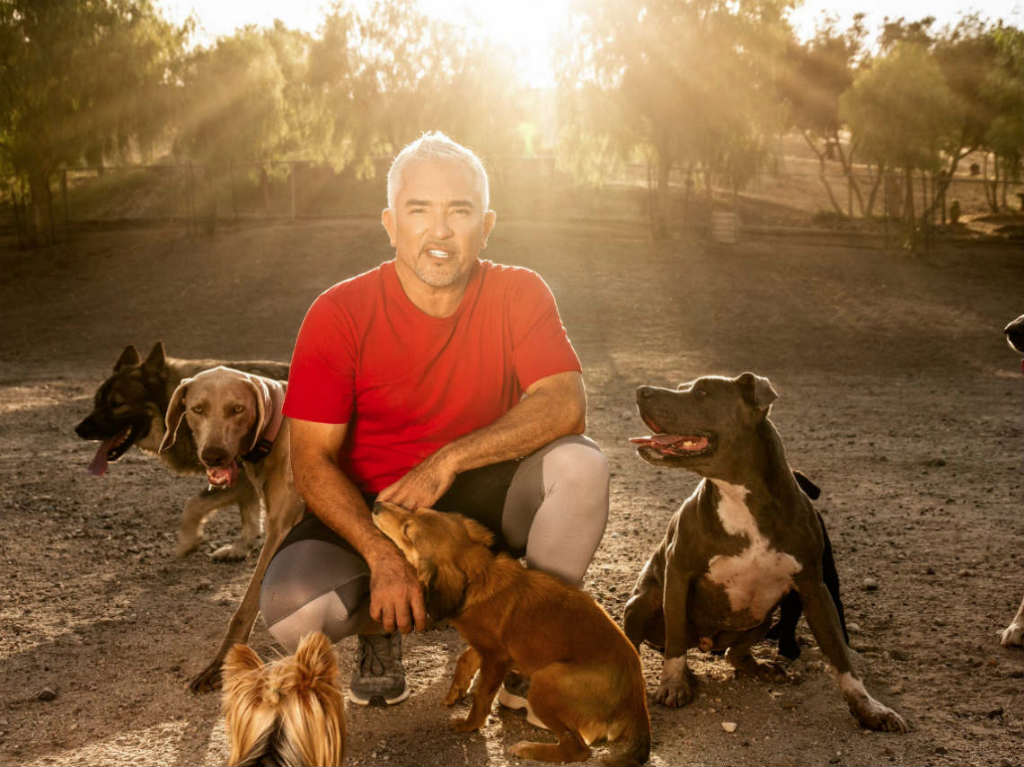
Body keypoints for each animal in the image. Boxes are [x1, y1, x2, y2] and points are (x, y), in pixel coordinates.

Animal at [372, 499, 651, 761]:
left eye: (407, 530)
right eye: (416, 511)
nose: (375, 504)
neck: (480, 576)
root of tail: (636, 700)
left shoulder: (496, 658)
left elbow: (482, 696)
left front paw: (469, 724)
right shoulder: (486, 647)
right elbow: (464, 659)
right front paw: (456, 691)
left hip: (545, 682)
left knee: (577, 749)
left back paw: (528, 748)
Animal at [622, 374, 905, 733]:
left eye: (702, 392)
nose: (640, 391)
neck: (737, 494)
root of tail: (706, 643)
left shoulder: (813, 588)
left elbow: (840, 655)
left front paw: (868, 707)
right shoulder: (678, 572)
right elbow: (674, 640)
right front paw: (673, 683)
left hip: (763, 617)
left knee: (735, 653)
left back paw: (760, 667)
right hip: (642, 602)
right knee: (655, 640)